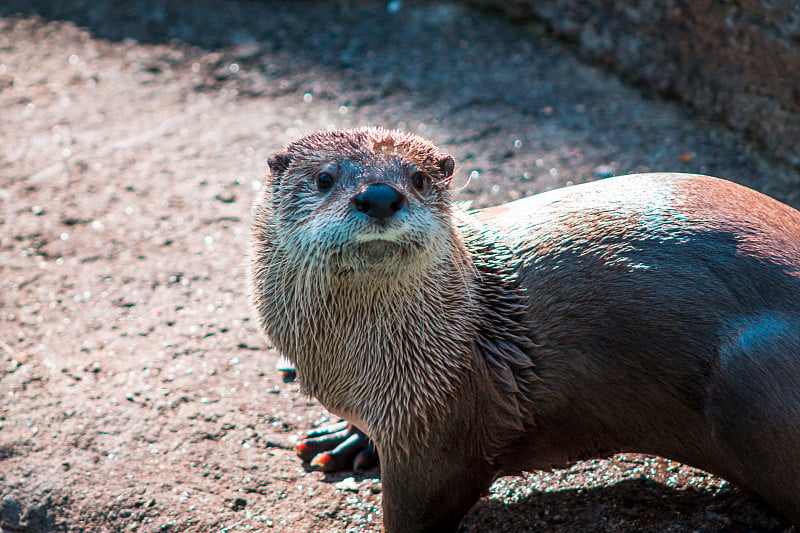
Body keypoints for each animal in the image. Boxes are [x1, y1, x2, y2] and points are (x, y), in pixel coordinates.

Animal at [248, 127, 800, 528]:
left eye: (419, 179)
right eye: (324, 178)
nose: (381, 196)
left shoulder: (442, 424)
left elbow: (420, 506)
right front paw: (347, 440)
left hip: (751, 377)